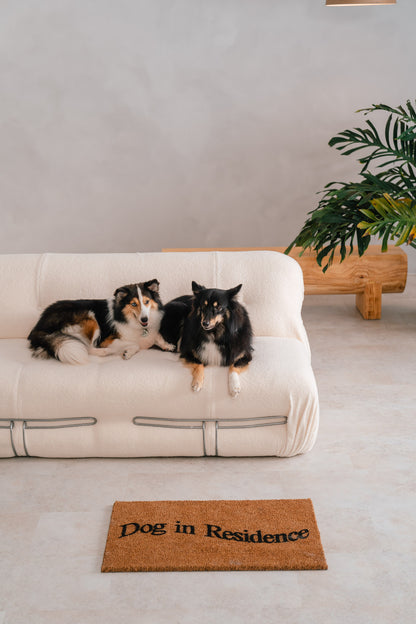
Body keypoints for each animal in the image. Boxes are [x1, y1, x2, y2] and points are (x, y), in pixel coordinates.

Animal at [27, 280, 174, 366]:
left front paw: (167, 345)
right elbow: (135, 344)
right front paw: (127, 352)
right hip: (89, 318)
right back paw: (105, 352)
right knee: (87, 347)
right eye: (133, 304)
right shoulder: (108, 339)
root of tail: (38, 327)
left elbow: (157, 336)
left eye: (147, 301)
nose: (145, 320)